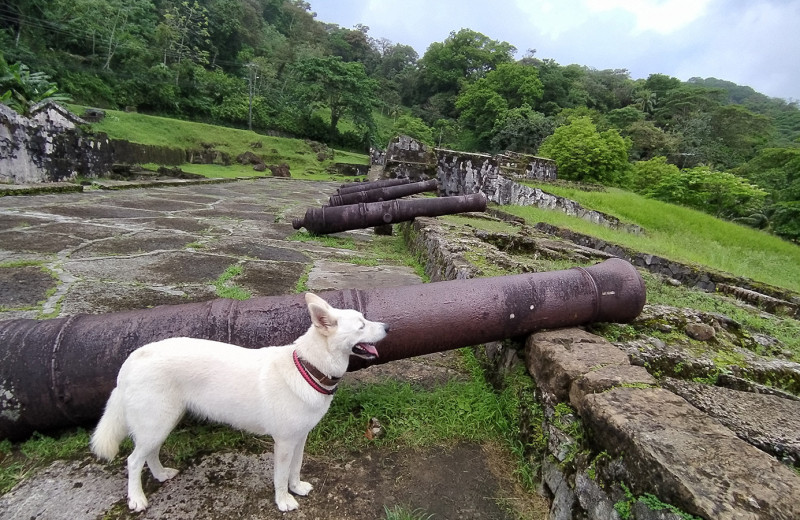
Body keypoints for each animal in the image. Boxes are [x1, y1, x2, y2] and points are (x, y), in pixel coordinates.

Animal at [90, 292, 388, 512]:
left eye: (365, 318)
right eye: (361, 325)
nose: (387, 326)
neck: (309, 366)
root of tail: (132, 358)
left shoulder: (300, 438)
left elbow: (295, 468)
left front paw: (297, 488)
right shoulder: (284, 442)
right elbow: (280, 476)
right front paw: (284, 501)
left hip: (164, 423)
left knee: (149, 454)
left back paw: (161, 475)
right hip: (156, 423)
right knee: (133, 461)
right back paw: (137, 499)